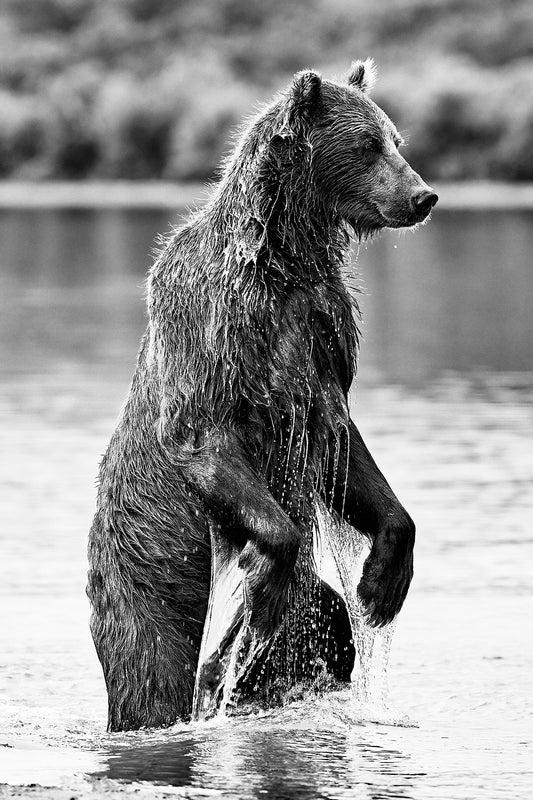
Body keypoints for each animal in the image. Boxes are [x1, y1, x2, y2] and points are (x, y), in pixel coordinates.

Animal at [87, 56, 436, 732]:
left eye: (397, 141)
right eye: (369, 145)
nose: (423, 196)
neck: (283, 258)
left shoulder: (322, 340)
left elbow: (343, 451)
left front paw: (382, 582)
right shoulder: (215, 324)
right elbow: (205, 437)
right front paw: (258, 601)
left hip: (308, 604)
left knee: (331, 624)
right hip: (144, 565)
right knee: (151, 666)